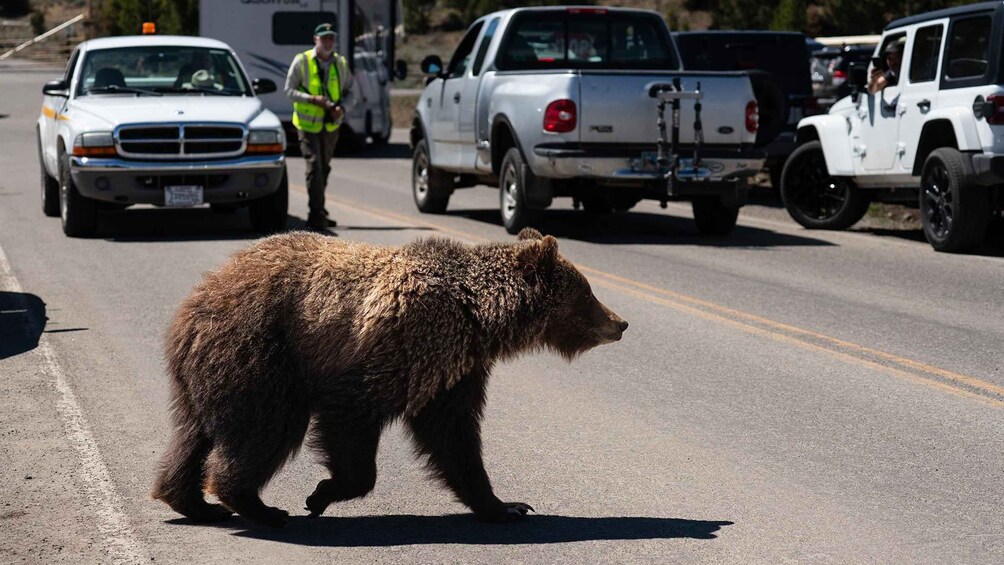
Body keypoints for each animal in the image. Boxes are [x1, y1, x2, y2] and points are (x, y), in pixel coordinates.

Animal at [151, 227, 628, 528]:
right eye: (587, 292)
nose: (620, 323)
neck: (477, 317)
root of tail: (197, 299)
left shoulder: (454, 370)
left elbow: (454, 438)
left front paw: (505, 506)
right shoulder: (399, 347)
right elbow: (354, 418)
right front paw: (321, 493)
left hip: (207, 372)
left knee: (193, 433)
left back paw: (190, 501)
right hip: (263, 353)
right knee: (267, 427)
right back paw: (255, 506)